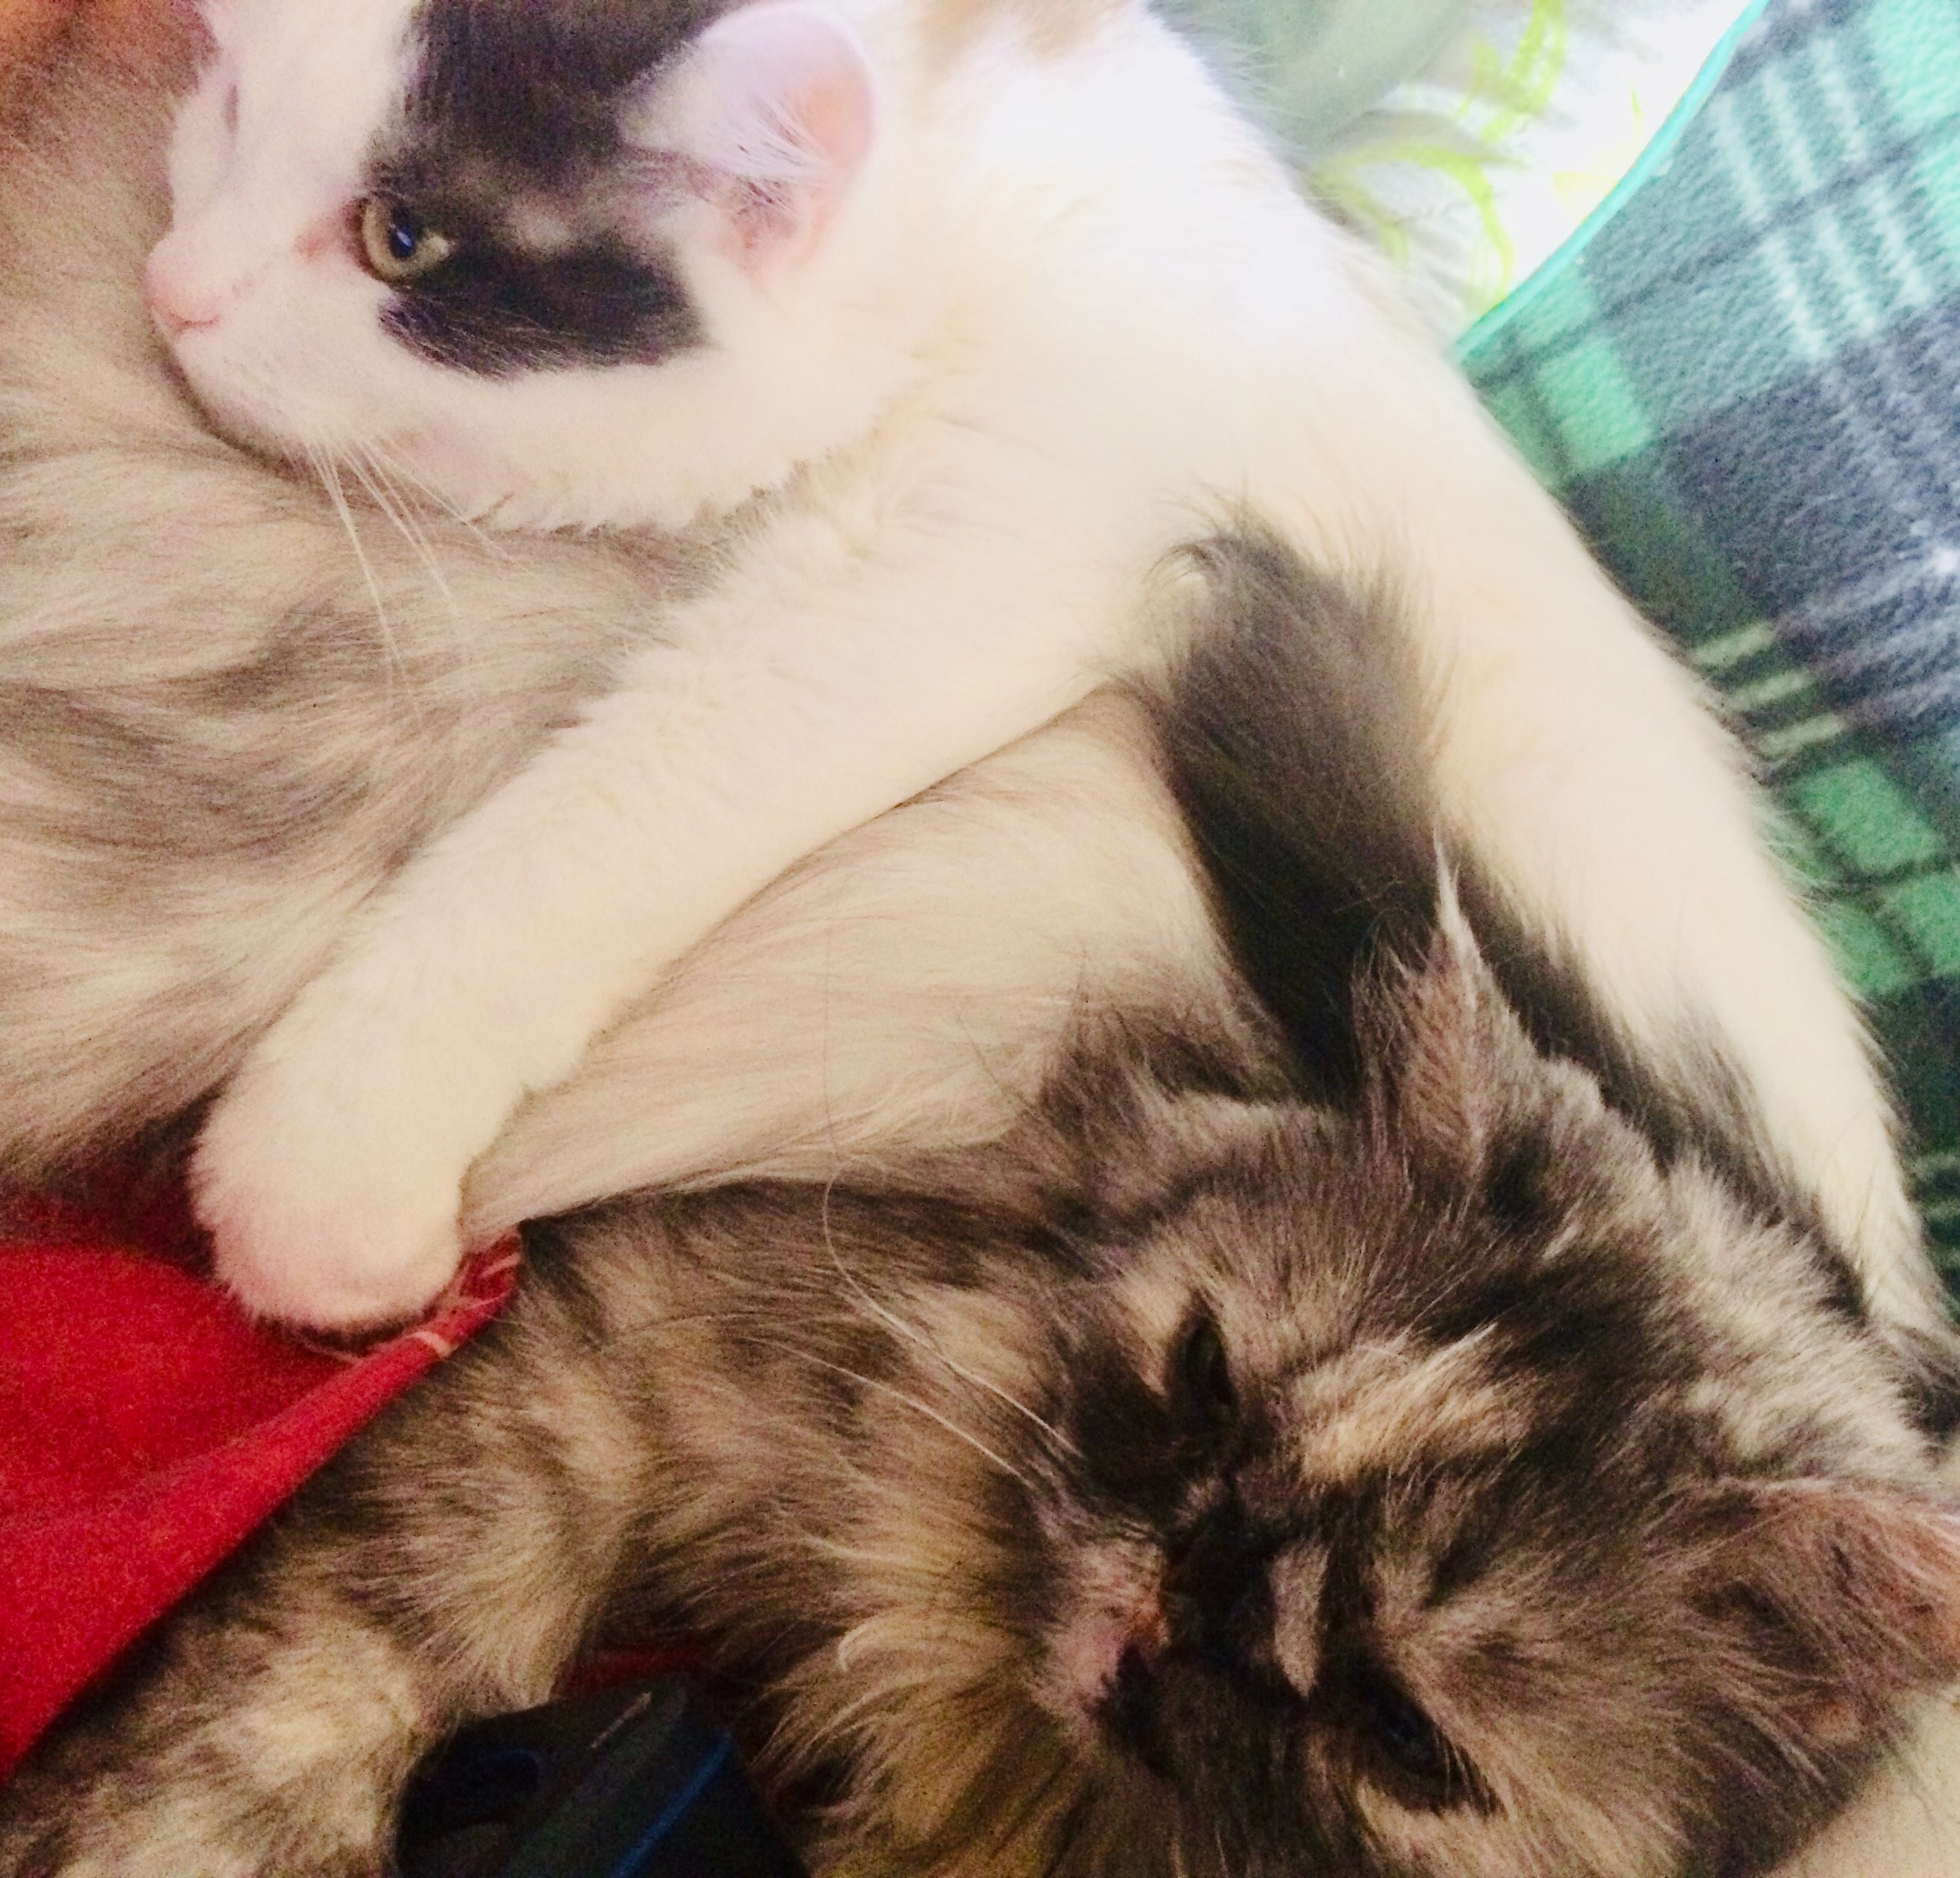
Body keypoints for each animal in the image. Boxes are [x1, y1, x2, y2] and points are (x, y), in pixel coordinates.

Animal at [5, 536, 1959, 1878]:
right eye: (1202, 1381)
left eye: (1397, 1726)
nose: (1172, 1607)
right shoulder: (601, 1366)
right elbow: (336, 1664)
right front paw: (147, 1828)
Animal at [110, 0, 1933, 1340]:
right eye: (230, 106)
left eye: (401, 240)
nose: (171, 291)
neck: (974, 166)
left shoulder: (981, 542)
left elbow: (606, 820)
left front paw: (320, 1160)